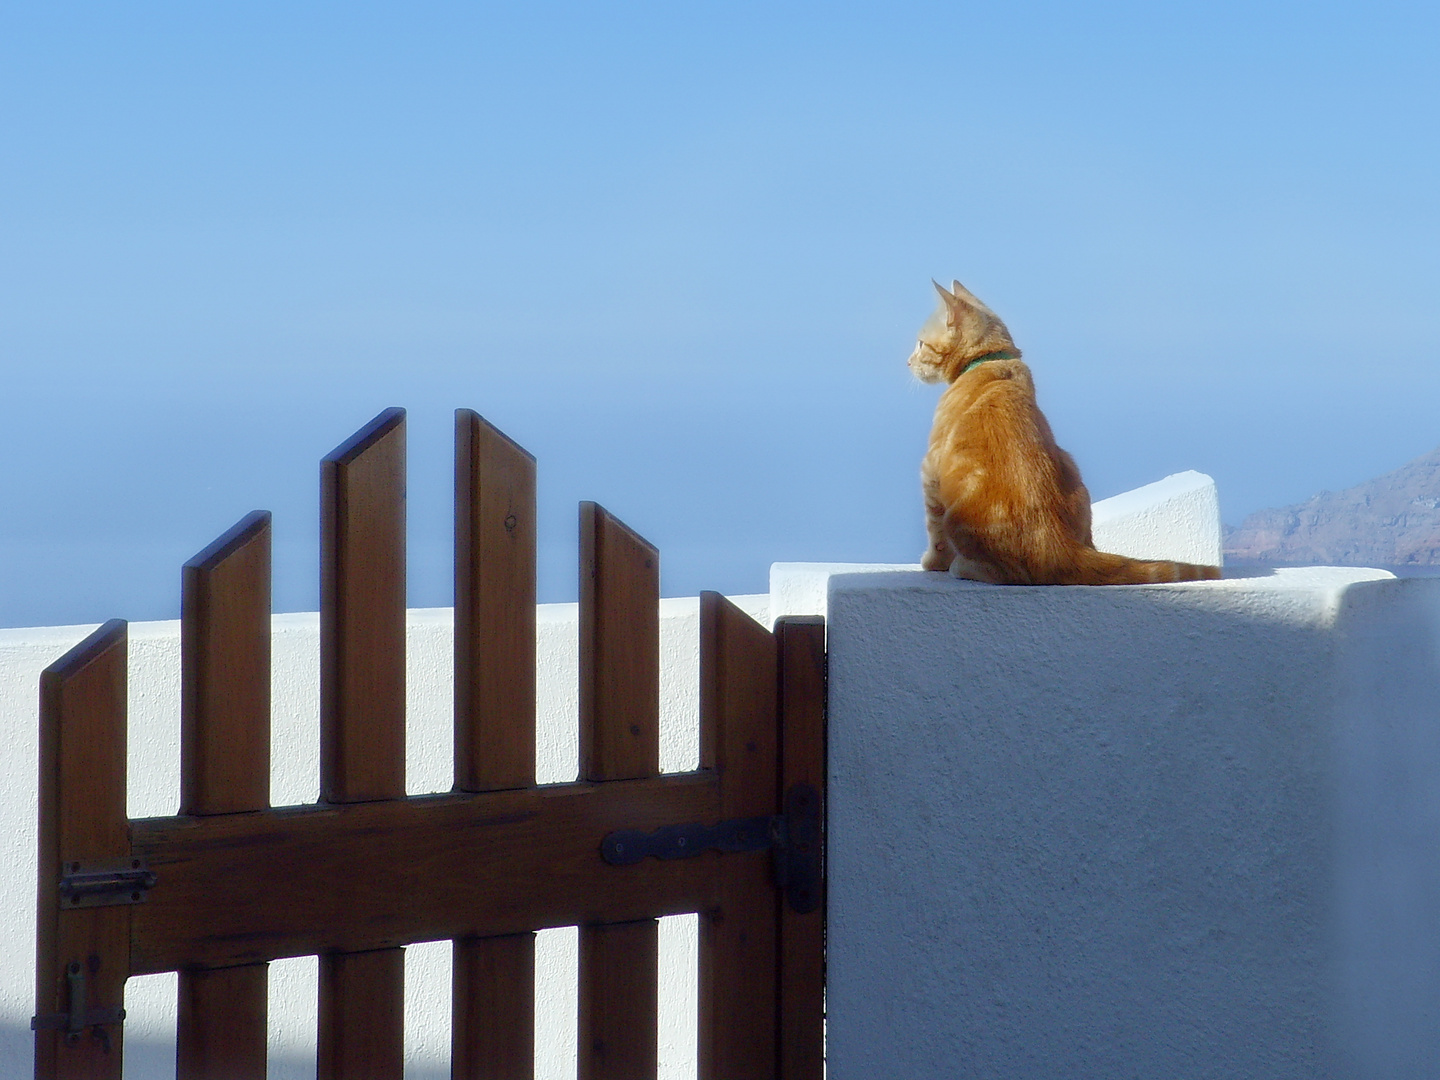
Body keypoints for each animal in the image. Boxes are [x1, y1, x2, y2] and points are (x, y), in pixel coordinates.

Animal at [904, 279, 1221, 584]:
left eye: (920, 344)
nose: (907, 362)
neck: (991, 360)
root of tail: (1058, 547)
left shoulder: (931, 470)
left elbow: (935, 532)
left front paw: (933, 563)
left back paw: (964, 566)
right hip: (1070, 463)